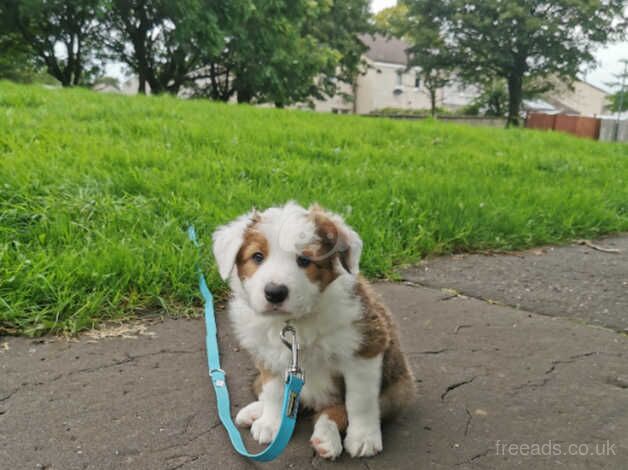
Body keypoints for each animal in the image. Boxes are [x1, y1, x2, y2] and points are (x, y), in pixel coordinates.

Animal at [212, 202, 418, 458]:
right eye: (257, 257)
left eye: (304, 260)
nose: (275, 293)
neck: (293, 322)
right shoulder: (267, 355)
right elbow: (273, 391)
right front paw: (270, 423)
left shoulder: (366, 348)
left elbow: (359, 402)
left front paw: (363, 438)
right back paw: (255, 411)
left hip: (398, 389)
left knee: (337, 408)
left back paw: (325, 437)